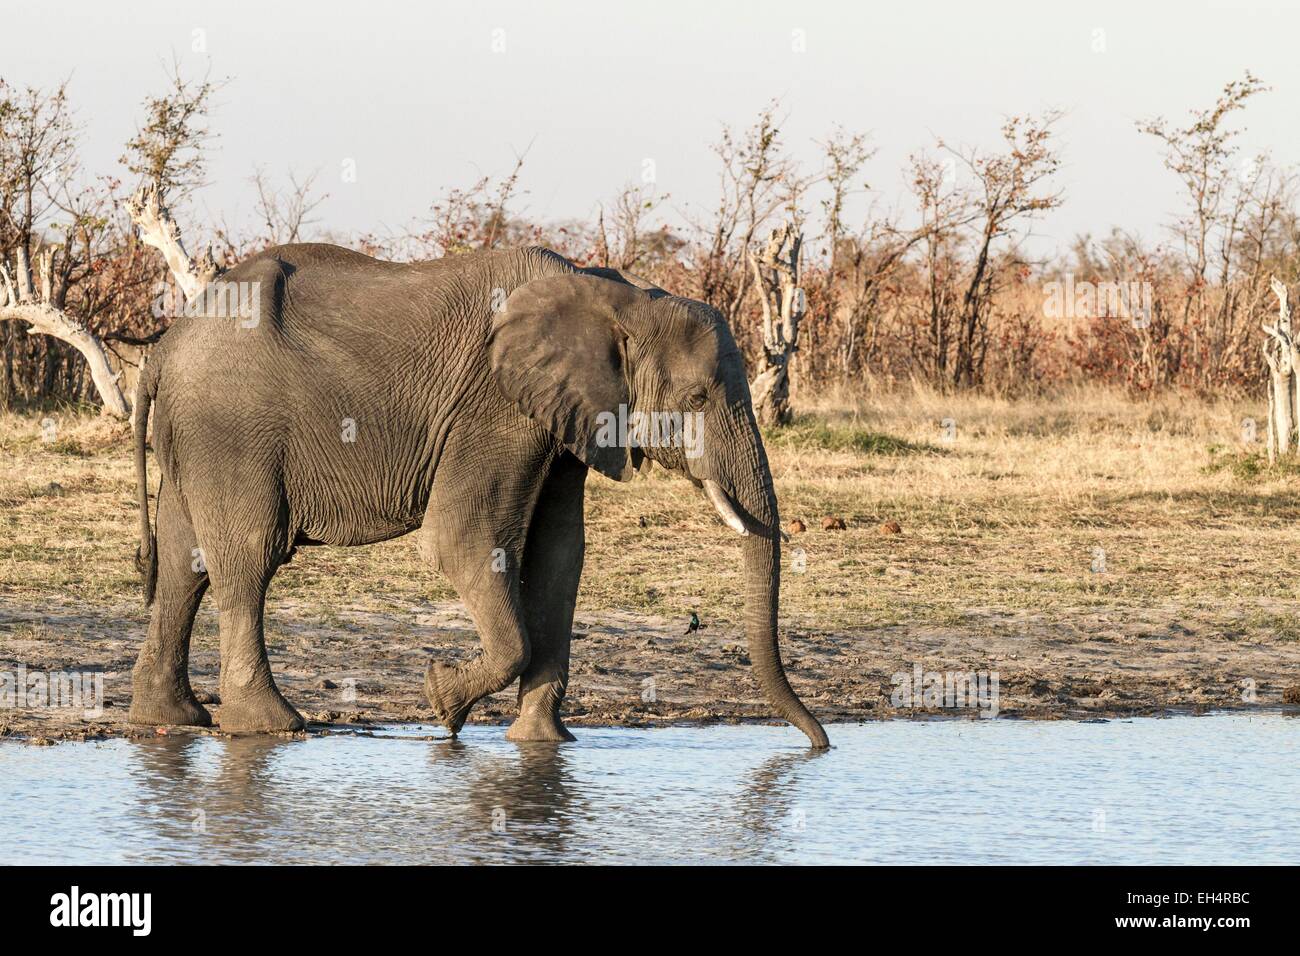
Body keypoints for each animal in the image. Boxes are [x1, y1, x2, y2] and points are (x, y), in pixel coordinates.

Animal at [126, 240, 826, 749]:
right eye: (699, 398)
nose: (819, 744)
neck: (618, 295)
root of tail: (164, 347)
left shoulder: (564, 416)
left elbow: (558, 556)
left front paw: (542, 744)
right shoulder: (496, 407)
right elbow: (464, 540)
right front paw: (441, 701)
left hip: (194, 434)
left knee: (186, 564)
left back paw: (175, 718)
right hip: (231, 428)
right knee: (249, 559)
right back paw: (273, 726)